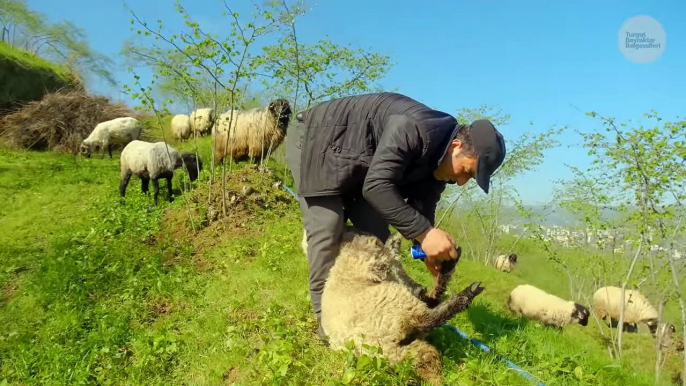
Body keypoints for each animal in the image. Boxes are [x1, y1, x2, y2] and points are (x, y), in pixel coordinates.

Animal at [322, 229, 484, 386]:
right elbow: (394, 262)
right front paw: (394, 244)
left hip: (408, 350)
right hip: (401, 310)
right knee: (431, 315)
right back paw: (466, 290)